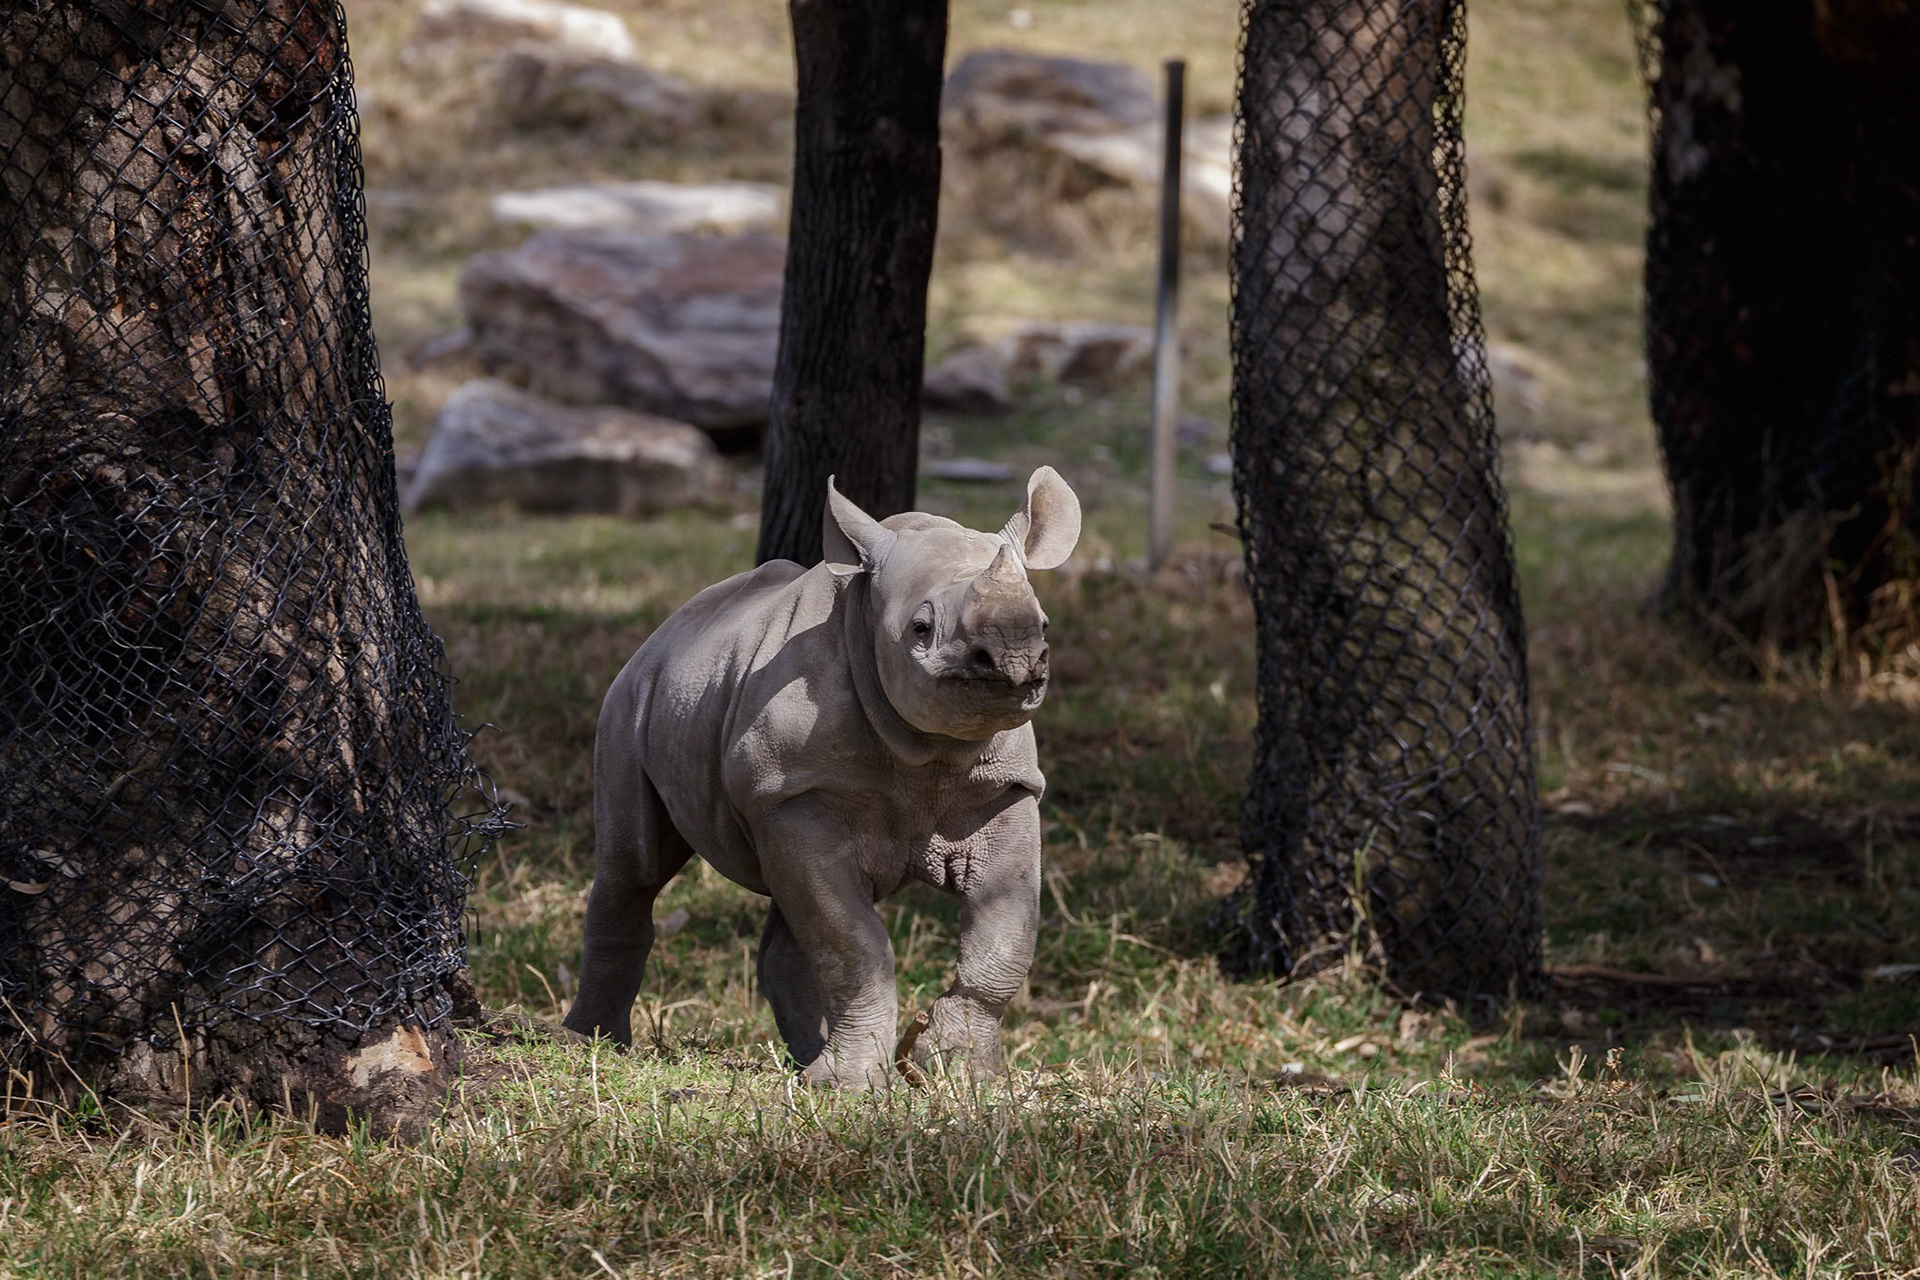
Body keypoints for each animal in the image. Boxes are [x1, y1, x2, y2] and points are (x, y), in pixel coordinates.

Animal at [562, 467, 1082, 1087]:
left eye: (1044, 624)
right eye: (921, 628)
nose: (1012, 662)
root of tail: (665, 628)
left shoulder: (1006, 789)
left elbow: (1004, 936)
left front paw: (960, 1073)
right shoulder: (794, 791)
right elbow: (853, 944)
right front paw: (849, 1086)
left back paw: (804, 1059)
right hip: (631, 696)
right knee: (633, 867)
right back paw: (590, 1044)